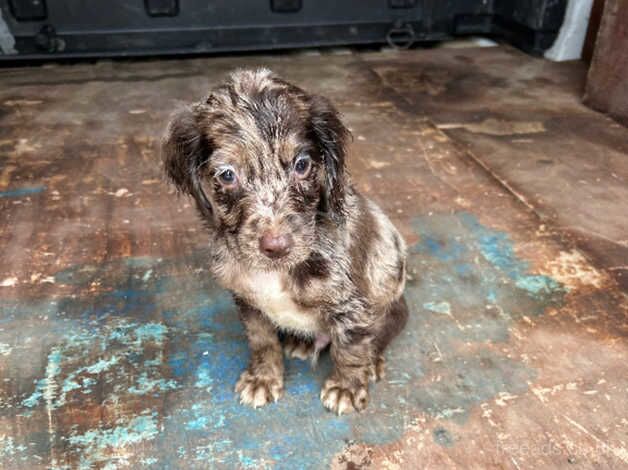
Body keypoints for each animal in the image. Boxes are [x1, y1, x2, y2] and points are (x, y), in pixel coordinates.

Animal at [162, 68, 408, 414]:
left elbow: (350, 347)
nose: (276, 247)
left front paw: (347, 386)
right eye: (227, 175)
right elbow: (263, 342)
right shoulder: (248, 302)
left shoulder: (352, 305)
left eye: (302, 165)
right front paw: (263, 379)